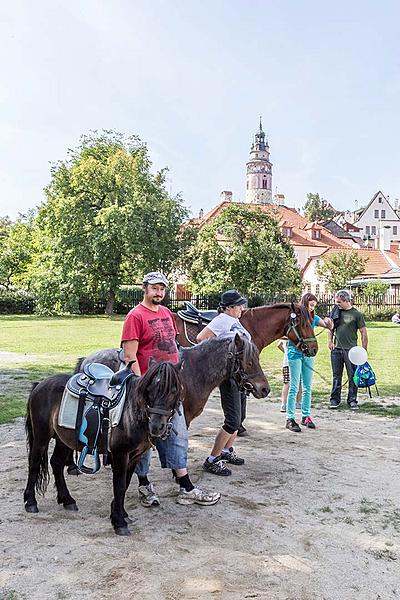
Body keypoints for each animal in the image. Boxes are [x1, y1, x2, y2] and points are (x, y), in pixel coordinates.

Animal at [23, 358, 183, 536]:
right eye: (149, 389)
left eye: (174, 390)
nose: (156, 426)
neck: (131, 411)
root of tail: (40, 384)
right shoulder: (120, 454)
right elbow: (119, 486)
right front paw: (119, 522)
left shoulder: (135, 455)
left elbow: (126, 484)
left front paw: (121, 513)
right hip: (41, 436)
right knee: (34, 464)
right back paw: (30, 502)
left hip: (64, 439)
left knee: (56, 463)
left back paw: (67, 500)